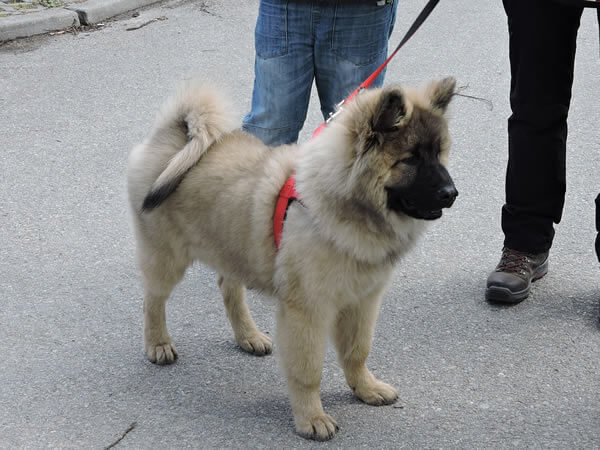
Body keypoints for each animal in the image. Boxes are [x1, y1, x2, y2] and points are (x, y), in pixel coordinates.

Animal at [125, 77, 454, 440]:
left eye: (438, 153)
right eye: (410, 160)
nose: (452, 193)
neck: (343, 204)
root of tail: (173, 134)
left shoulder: (363, 301)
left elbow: (357, 351)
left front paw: (366, 388)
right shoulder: (307, 310)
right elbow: (308, 370)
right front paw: (312, 418)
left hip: (234, 246)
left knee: (229, 287)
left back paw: (249, 336)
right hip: (167, 256)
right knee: (153, 300)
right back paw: (158, 344)